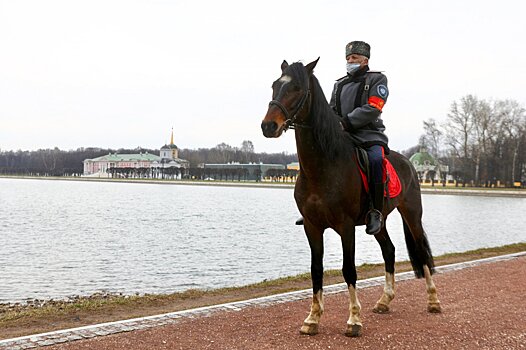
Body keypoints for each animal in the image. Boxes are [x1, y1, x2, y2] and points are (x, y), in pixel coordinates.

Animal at [260, 58, 442, 338]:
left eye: (297, 88)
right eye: (274, 85)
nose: (269, 125)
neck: (322, 166)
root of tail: (408, 162)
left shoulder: (346, 226)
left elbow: (349, 270)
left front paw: (354, 320)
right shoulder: (312, 227)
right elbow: (316, 270)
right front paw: (312, 318)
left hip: (412, 214)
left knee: (422, 251)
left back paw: (433, 300)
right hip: (378, 221)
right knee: (389, 250)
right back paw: (384, 300)